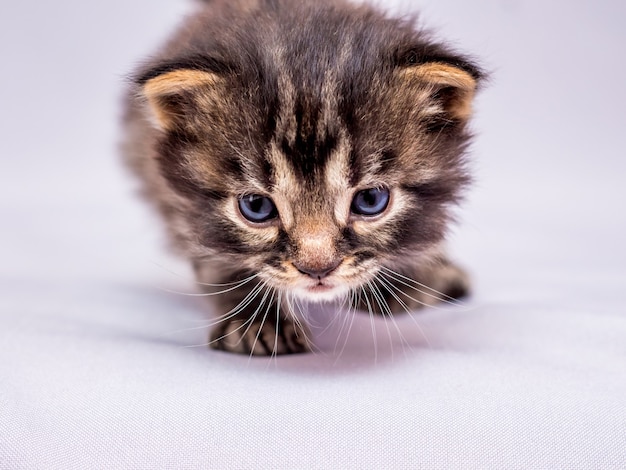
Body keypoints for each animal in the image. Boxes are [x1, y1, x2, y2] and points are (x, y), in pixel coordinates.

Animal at [120, 0, 482, 354]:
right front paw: (258, 322)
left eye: (370, 200)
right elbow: (215, 256)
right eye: (256, 206)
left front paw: (399, 282)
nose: (318, 268)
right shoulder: (175, 201)